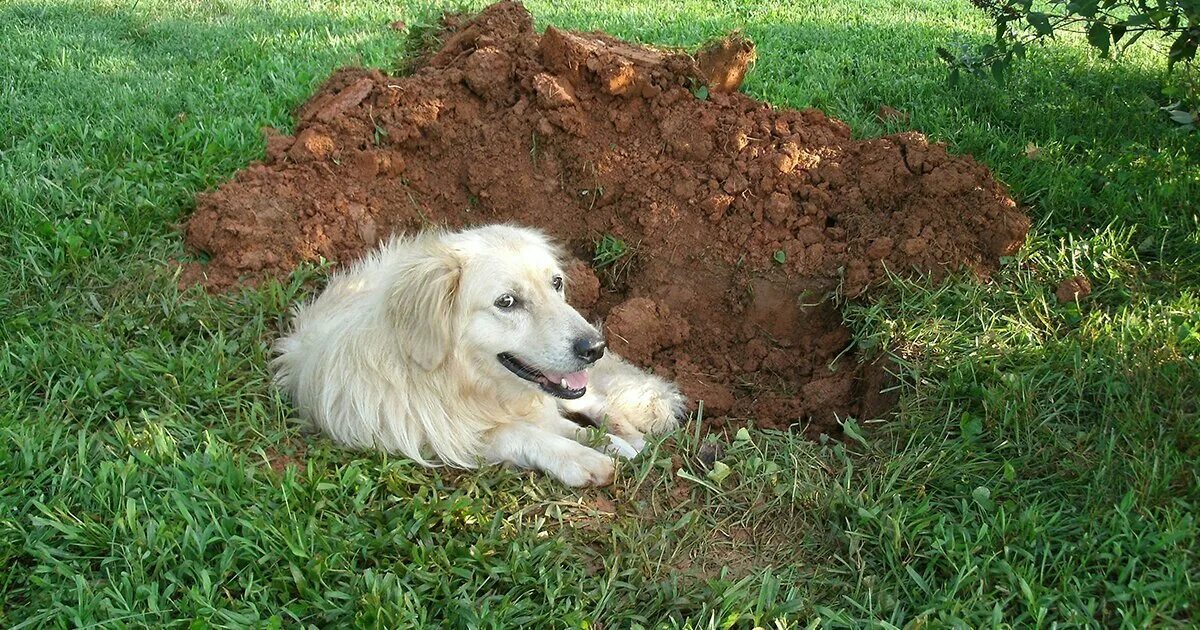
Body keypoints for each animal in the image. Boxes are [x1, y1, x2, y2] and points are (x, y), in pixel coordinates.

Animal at [272, 225, 686, 487]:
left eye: (556, 283)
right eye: (507, 302)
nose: (595, 348)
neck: (457, 383)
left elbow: (564, 420)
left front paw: (609, 440)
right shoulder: (436, 436)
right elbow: (520, 433)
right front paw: (580, 457)